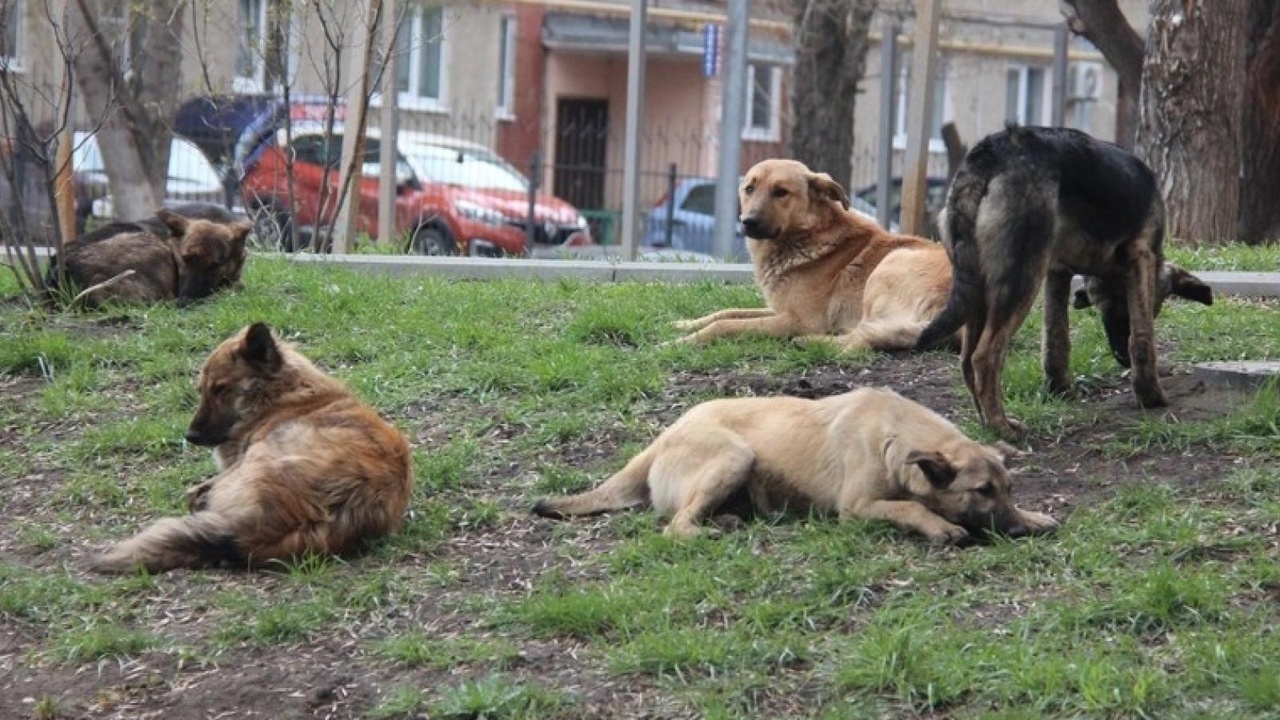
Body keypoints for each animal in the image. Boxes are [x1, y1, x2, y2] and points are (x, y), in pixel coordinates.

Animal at [532, 384, 1059, 540]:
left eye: (1008, 489)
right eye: (981, 491)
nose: (1016, 530)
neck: (895, 437)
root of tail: (662, 440)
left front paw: (1035, 516)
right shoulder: (856, 507)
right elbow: (910, 506)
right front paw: (940, 526)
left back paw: (727, 519)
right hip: (734, 455)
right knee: (675, 527)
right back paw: (709, 532)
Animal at [675, 156, 957, 351]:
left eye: (781, 192)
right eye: (749, 189)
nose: (748, 222)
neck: (807, 236)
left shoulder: (799, 319)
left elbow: (726, 324)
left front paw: (683, 342)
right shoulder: (781, 310)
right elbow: (727, 312)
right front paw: (684, 324)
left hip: (891, 263)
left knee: (861, 343)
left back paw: (813, 342)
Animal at [921, 124, 1208, 438]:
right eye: (1157, 309)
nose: (1121, 359)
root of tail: (990, 152)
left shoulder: (1057, 273)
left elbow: (1055, 341)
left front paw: (1059, 390)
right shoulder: (1141, 257)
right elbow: (1142, 338)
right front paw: (1151, 396)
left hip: (979, 291)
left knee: (966, 359)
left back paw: (986, 423)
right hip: (1020, 281)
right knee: (984, 357)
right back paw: (1001, 426)